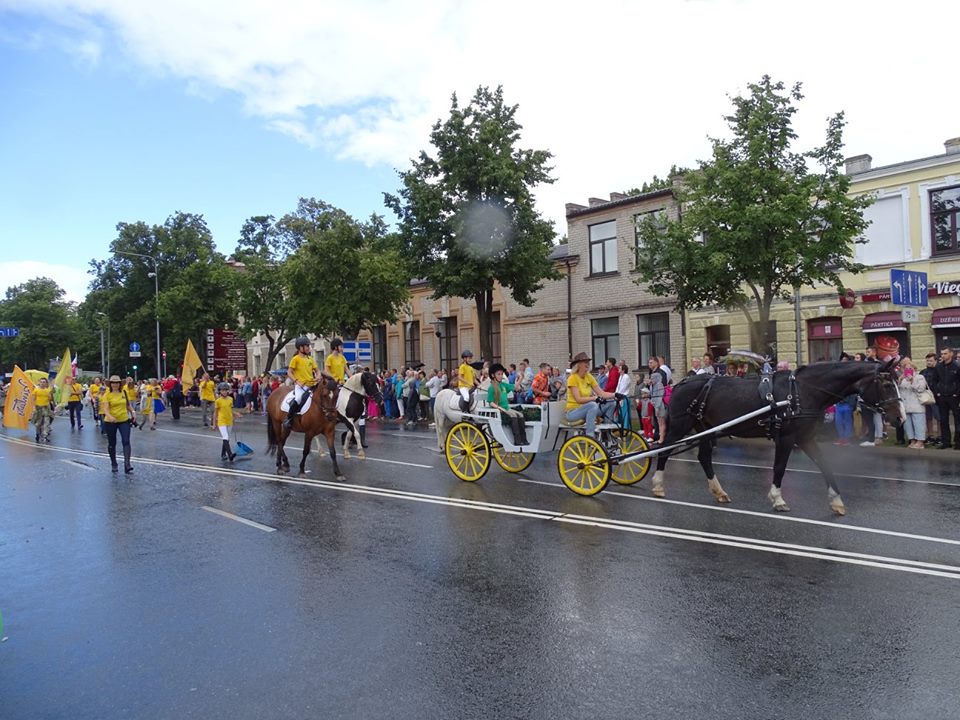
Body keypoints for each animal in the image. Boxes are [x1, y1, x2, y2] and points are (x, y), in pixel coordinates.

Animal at [648, 362, 904, 516]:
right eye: (887, 384)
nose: (900, 417)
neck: (801, 392)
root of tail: (681, 383)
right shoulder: (787, 438)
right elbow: (779, 467)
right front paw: (778, 499)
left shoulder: (806, 438)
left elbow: (825, 466)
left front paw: (836, 502)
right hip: (681, 426)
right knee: (664, 450)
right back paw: (658, 485)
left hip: (706, 429)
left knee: (703, 457)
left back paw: (719, 492)